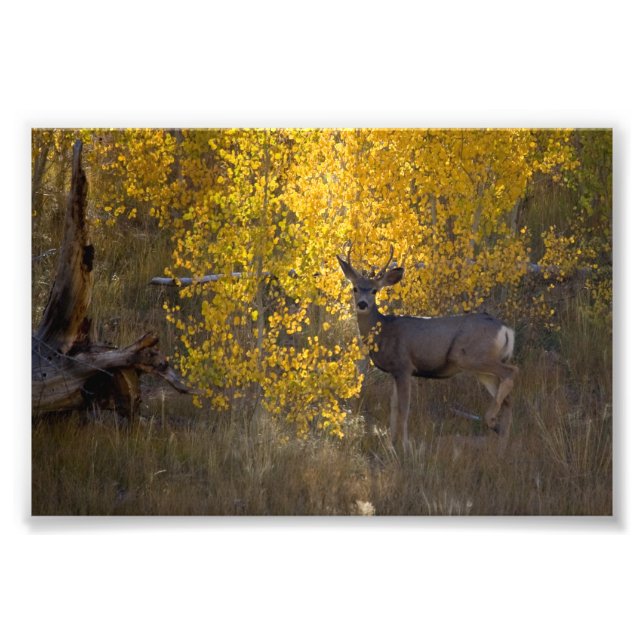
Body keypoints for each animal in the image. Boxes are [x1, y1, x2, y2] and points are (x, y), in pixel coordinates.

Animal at [337, 243, 518, 449]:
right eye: (354, 288)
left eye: (375, 290)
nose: (362, 304)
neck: (384, 331)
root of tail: (505, 329)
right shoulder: (394, 371)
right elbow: (393, 407)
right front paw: (390, 444)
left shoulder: (404, 366)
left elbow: (404, 408)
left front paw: (405, 446)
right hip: (481, 368)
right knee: (508, 398)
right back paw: (501, 440)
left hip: (472, 357)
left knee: (511, 372)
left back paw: (492, 422)